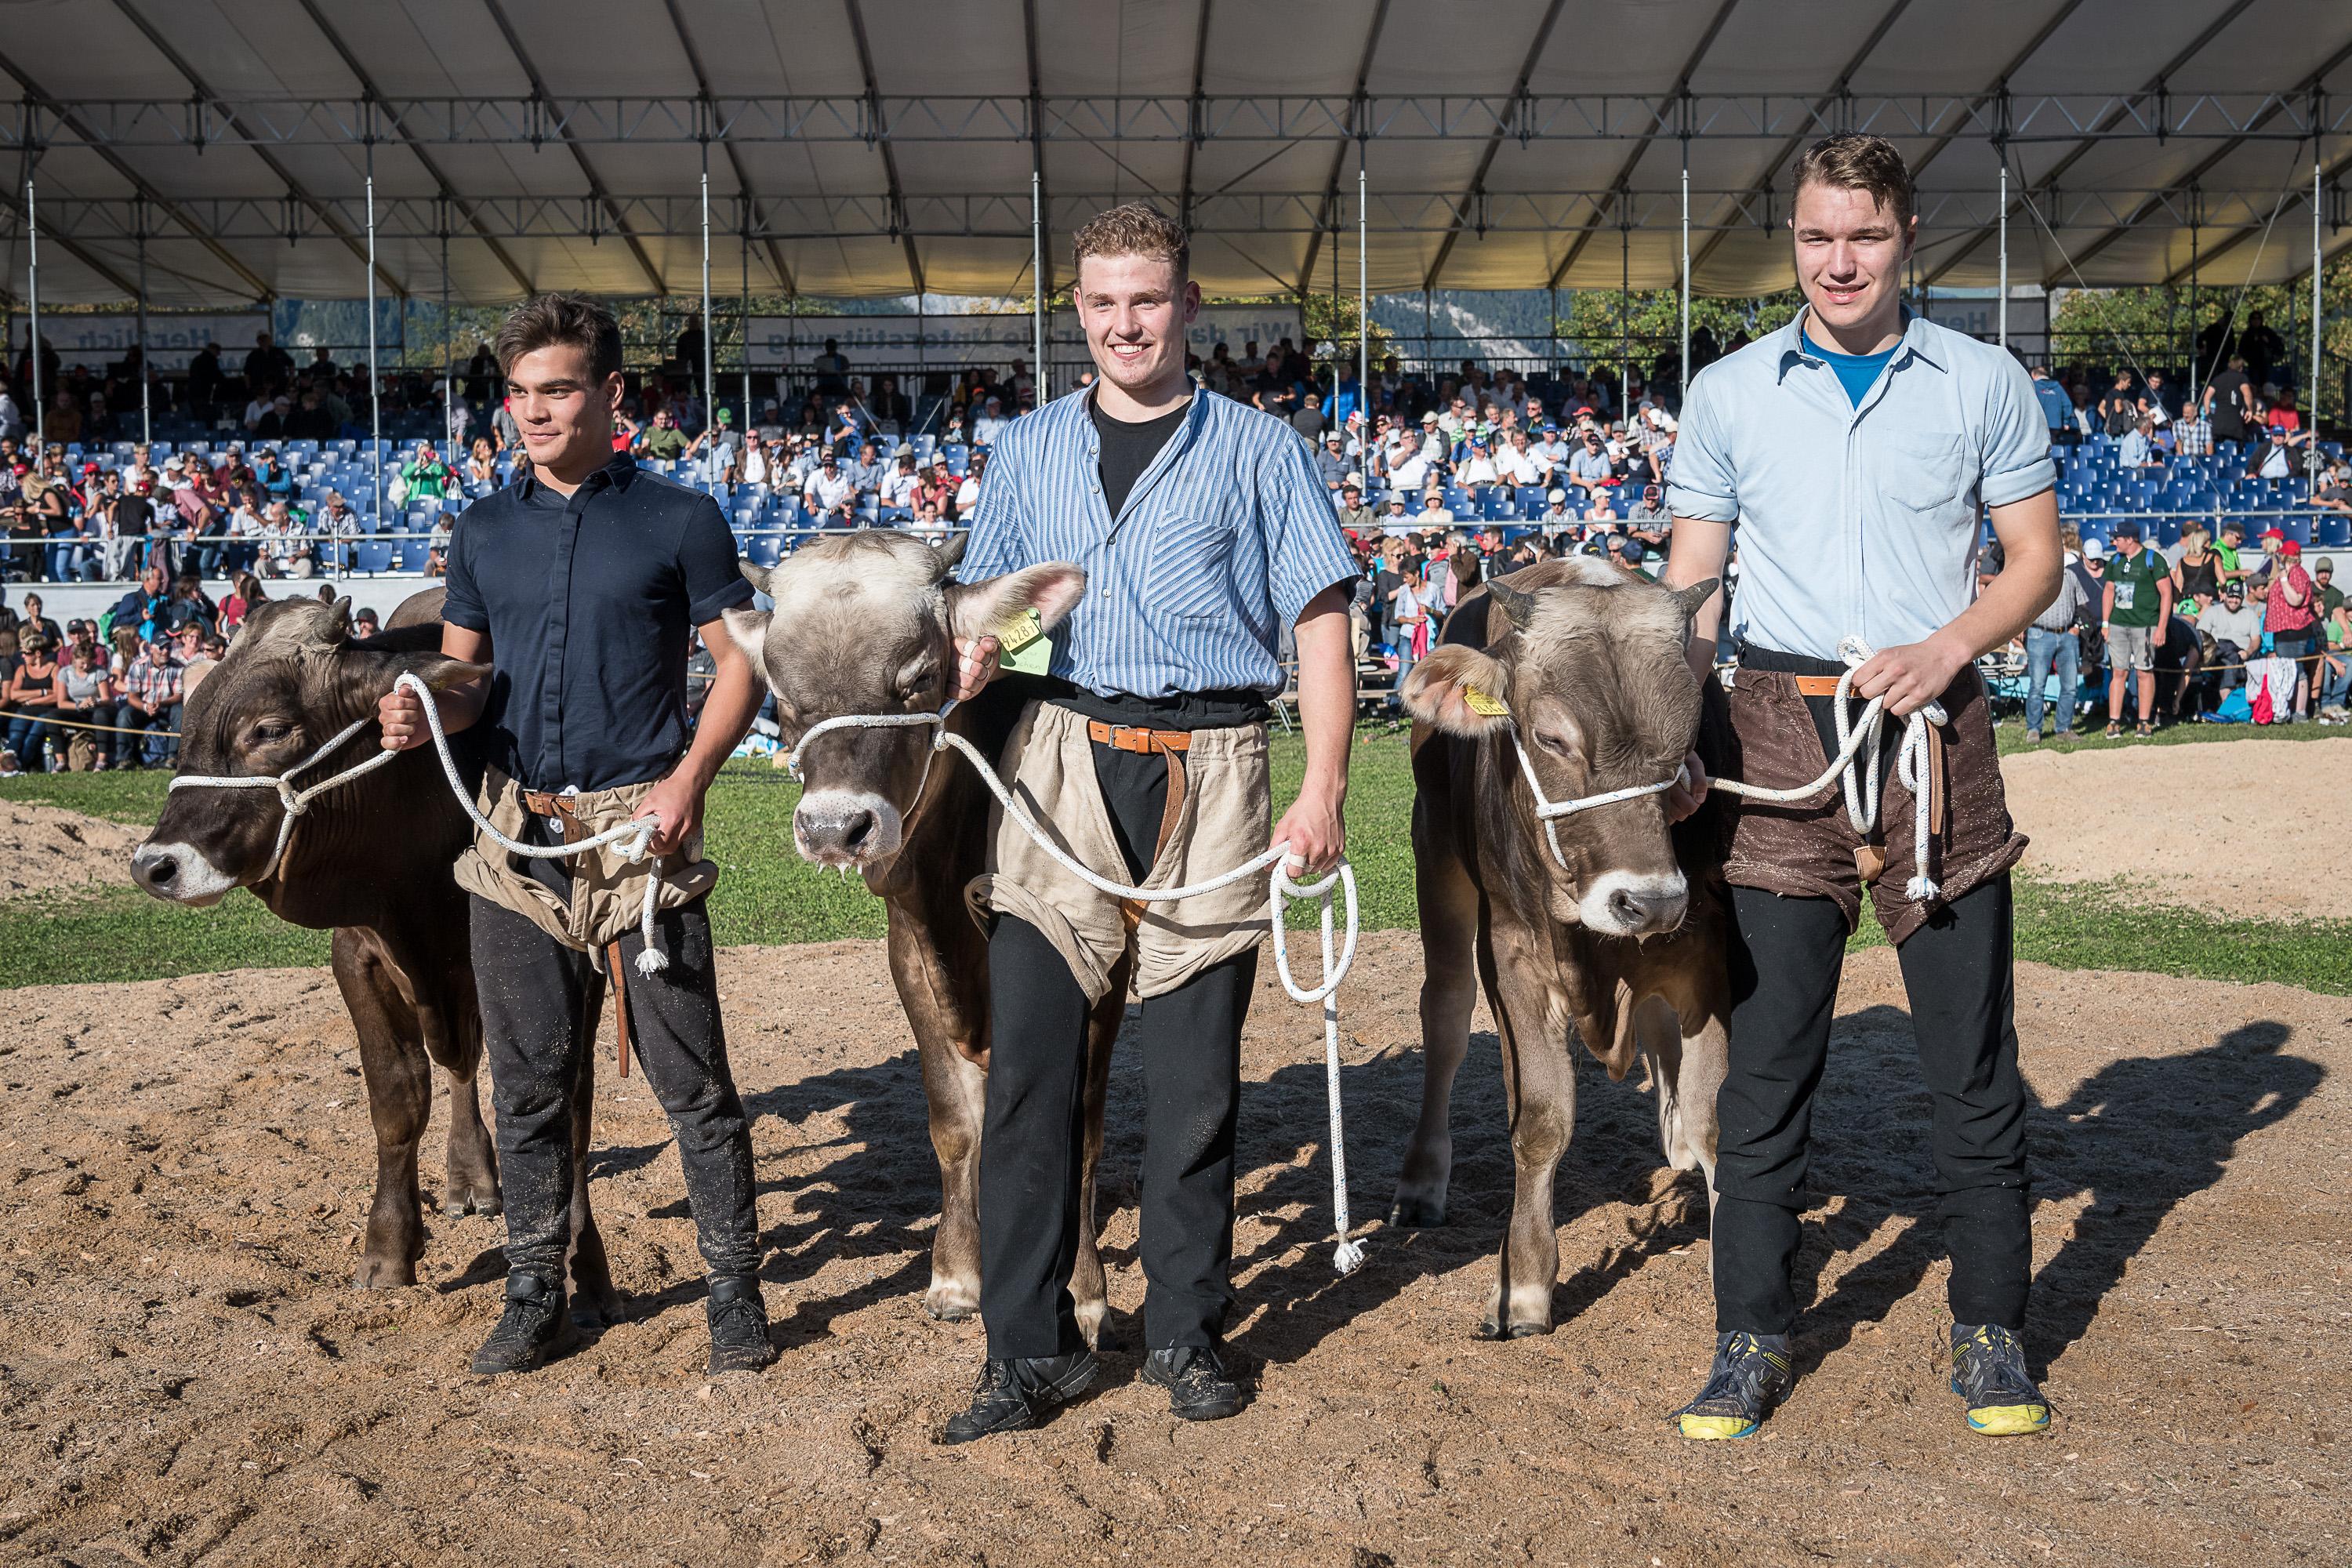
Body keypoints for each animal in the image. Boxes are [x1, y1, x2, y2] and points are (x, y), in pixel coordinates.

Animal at [129, 594, 621, 1316]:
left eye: (268, 729)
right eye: (186, 720)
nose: (154, 867)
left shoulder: (571, 953)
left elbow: (571, 1103)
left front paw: (588, 1263)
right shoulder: (358, 953)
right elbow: (398, 1100)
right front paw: (388, 1249)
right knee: (458, 1062)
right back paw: (470, 1175)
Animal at [710, 535, 1105, 1335]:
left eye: (918, 678)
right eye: (783, 698)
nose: (835, 828)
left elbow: (1080, 1127)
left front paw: (1083, 1289)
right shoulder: (912, 961)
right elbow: (954, 1122)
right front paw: (957, 1273)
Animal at [1383, 561, 1740, 1335]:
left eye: (1685, 748)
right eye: (1551, 740)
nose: (1649, 901)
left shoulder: (1706, 959)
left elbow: (1715, 1120)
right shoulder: (1514, 960)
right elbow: (1541, 1122)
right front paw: (1524, 1284)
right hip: (1436, 857)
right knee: (1445, 1016)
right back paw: (1421, 1181)